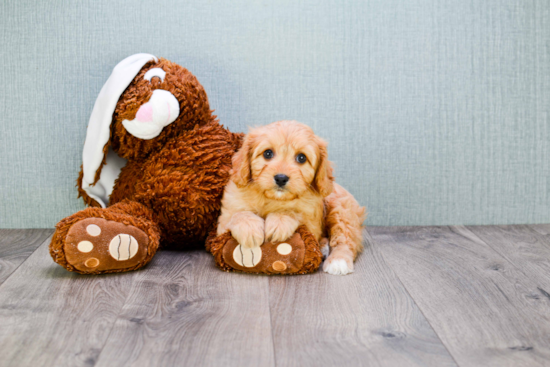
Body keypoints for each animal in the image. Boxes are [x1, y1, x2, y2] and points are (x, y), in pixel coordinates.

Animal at [218, 121, 368, 276]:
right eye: (267, 153)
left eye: (301, 158)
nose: (281, 178)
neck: (272, 198)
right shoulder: (223, 221)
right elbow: (238, 215)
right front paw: (249, 228)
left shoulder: (312, 223)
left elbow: (293, 212)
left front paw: (279, 221)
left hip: (341, 209)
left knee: (345, 238)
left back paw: (338, 261)